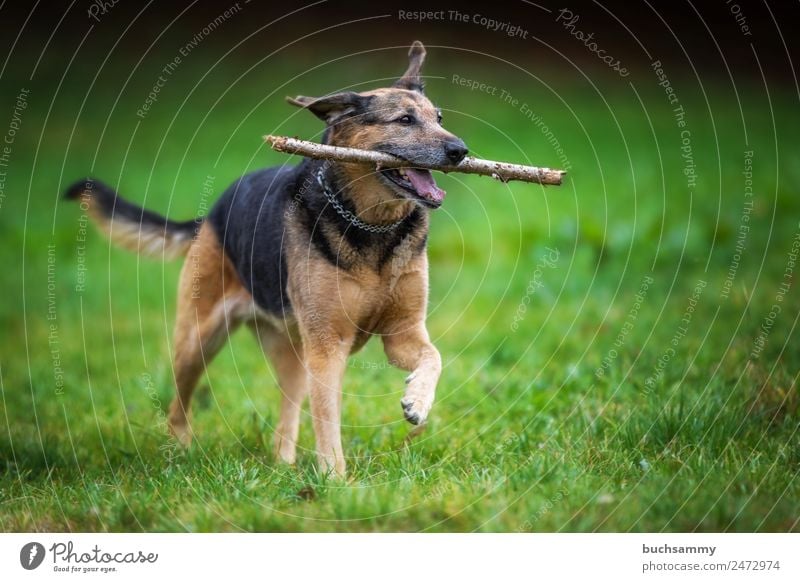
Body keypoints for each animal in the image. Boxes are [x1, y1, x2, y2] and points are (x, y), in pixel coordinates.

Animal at [67, 42, 468, 480]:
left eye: (440, 118)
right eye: (405, 120)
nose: (461, 151)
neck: (371, 226)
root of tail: (211, 215)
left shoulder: (401, 333)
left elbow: (434, 358)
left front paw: (417, 402)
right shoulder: (327, 346)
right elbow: (327, 419)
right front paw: (335, 480)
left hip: (291, 354)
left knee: (286, 417)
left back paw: (283, 465)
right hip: (198, 338)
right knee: (179, 403)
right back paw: (181, 452)